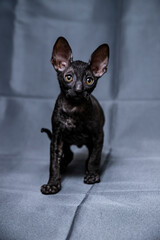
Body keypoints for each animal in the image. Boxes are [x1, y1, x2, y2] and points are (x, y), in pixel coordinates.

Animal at [40, 36, 109, 194]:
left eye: (89, 80)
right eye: (69, 77)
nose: (78, 90)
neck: (74, 109)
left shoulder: (98, 135)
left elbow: (94, 157)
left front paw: (92, 174)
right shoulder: (57, 137)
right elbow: (54, 162)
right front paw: (53, 184)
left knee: (88, 154)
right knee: (68, 155)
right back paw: (63, 166)